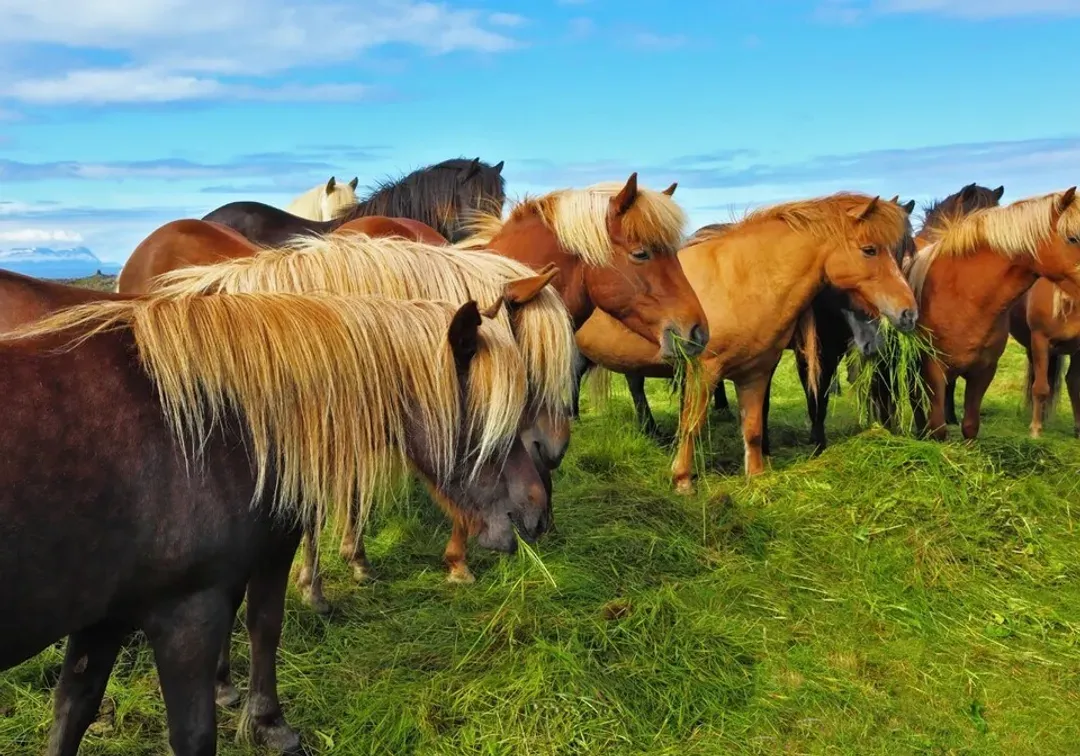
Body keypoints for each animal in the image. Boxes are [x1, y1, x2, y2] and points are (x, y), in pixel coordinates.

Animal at [0, 291, 549, 755]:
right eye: (493, 421)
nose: (538, 513)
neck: (209, 426)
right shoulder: (187, 614)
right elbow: (218, 695)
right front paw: (268, 723)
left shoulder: (105, 617)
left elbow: (72, 711)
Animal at [574, 193, 919, 491]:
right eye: (870, 250)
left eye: (904, 252)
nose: (908, 313)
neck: (741, 279)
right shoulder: (703, 371)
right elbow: (691, 425)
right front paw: (683, 480)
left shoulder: (756, 372)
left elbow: (752, 428)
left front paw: (757, 477)